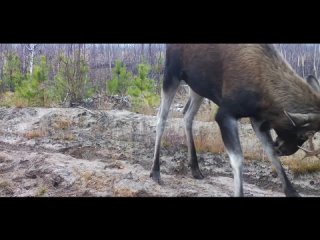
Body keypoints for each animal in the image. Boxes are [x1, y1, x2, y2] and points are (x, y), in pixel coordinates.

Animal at [151, 43, 320, 197]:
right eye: (303, 134)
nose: (284, 150)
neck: (266, 99)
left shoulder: (258, 120)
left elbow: (270, 152)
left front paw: (292, 191)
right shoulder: (225, 114)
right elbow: (238, 159)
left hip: (198, 85)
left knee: (187, 115)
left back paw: (195, 168)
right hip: (172, 73)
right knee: (161, 118)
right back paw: (155, 171)